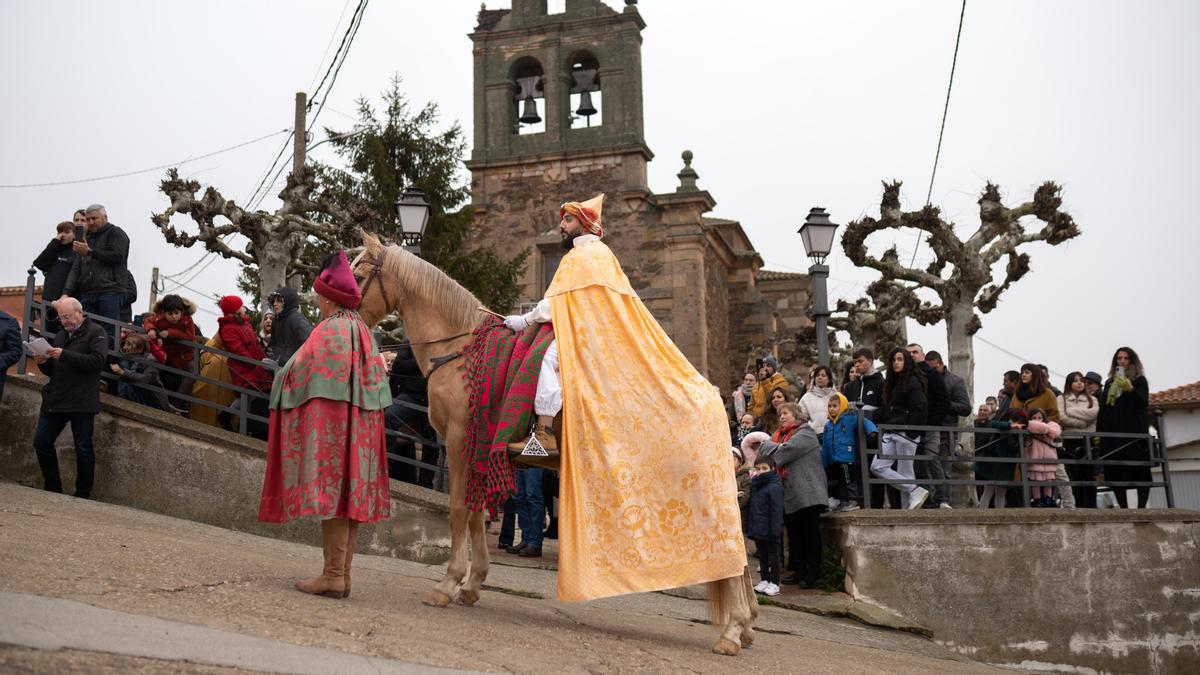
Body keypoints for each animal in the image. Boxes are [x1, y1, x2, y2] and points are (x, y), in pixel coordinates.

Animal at [350, 229, 753, 653]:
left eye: (358, 273)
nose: (337, 311)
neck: (459, 350)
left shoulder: (460, 443)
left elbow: (458, 510)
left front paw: (447, 584)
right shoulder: (479, 449)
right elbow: (475, 515)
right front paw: (472, 584)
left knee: (732, 553)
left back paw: (733, 630)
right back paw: (742, 627)